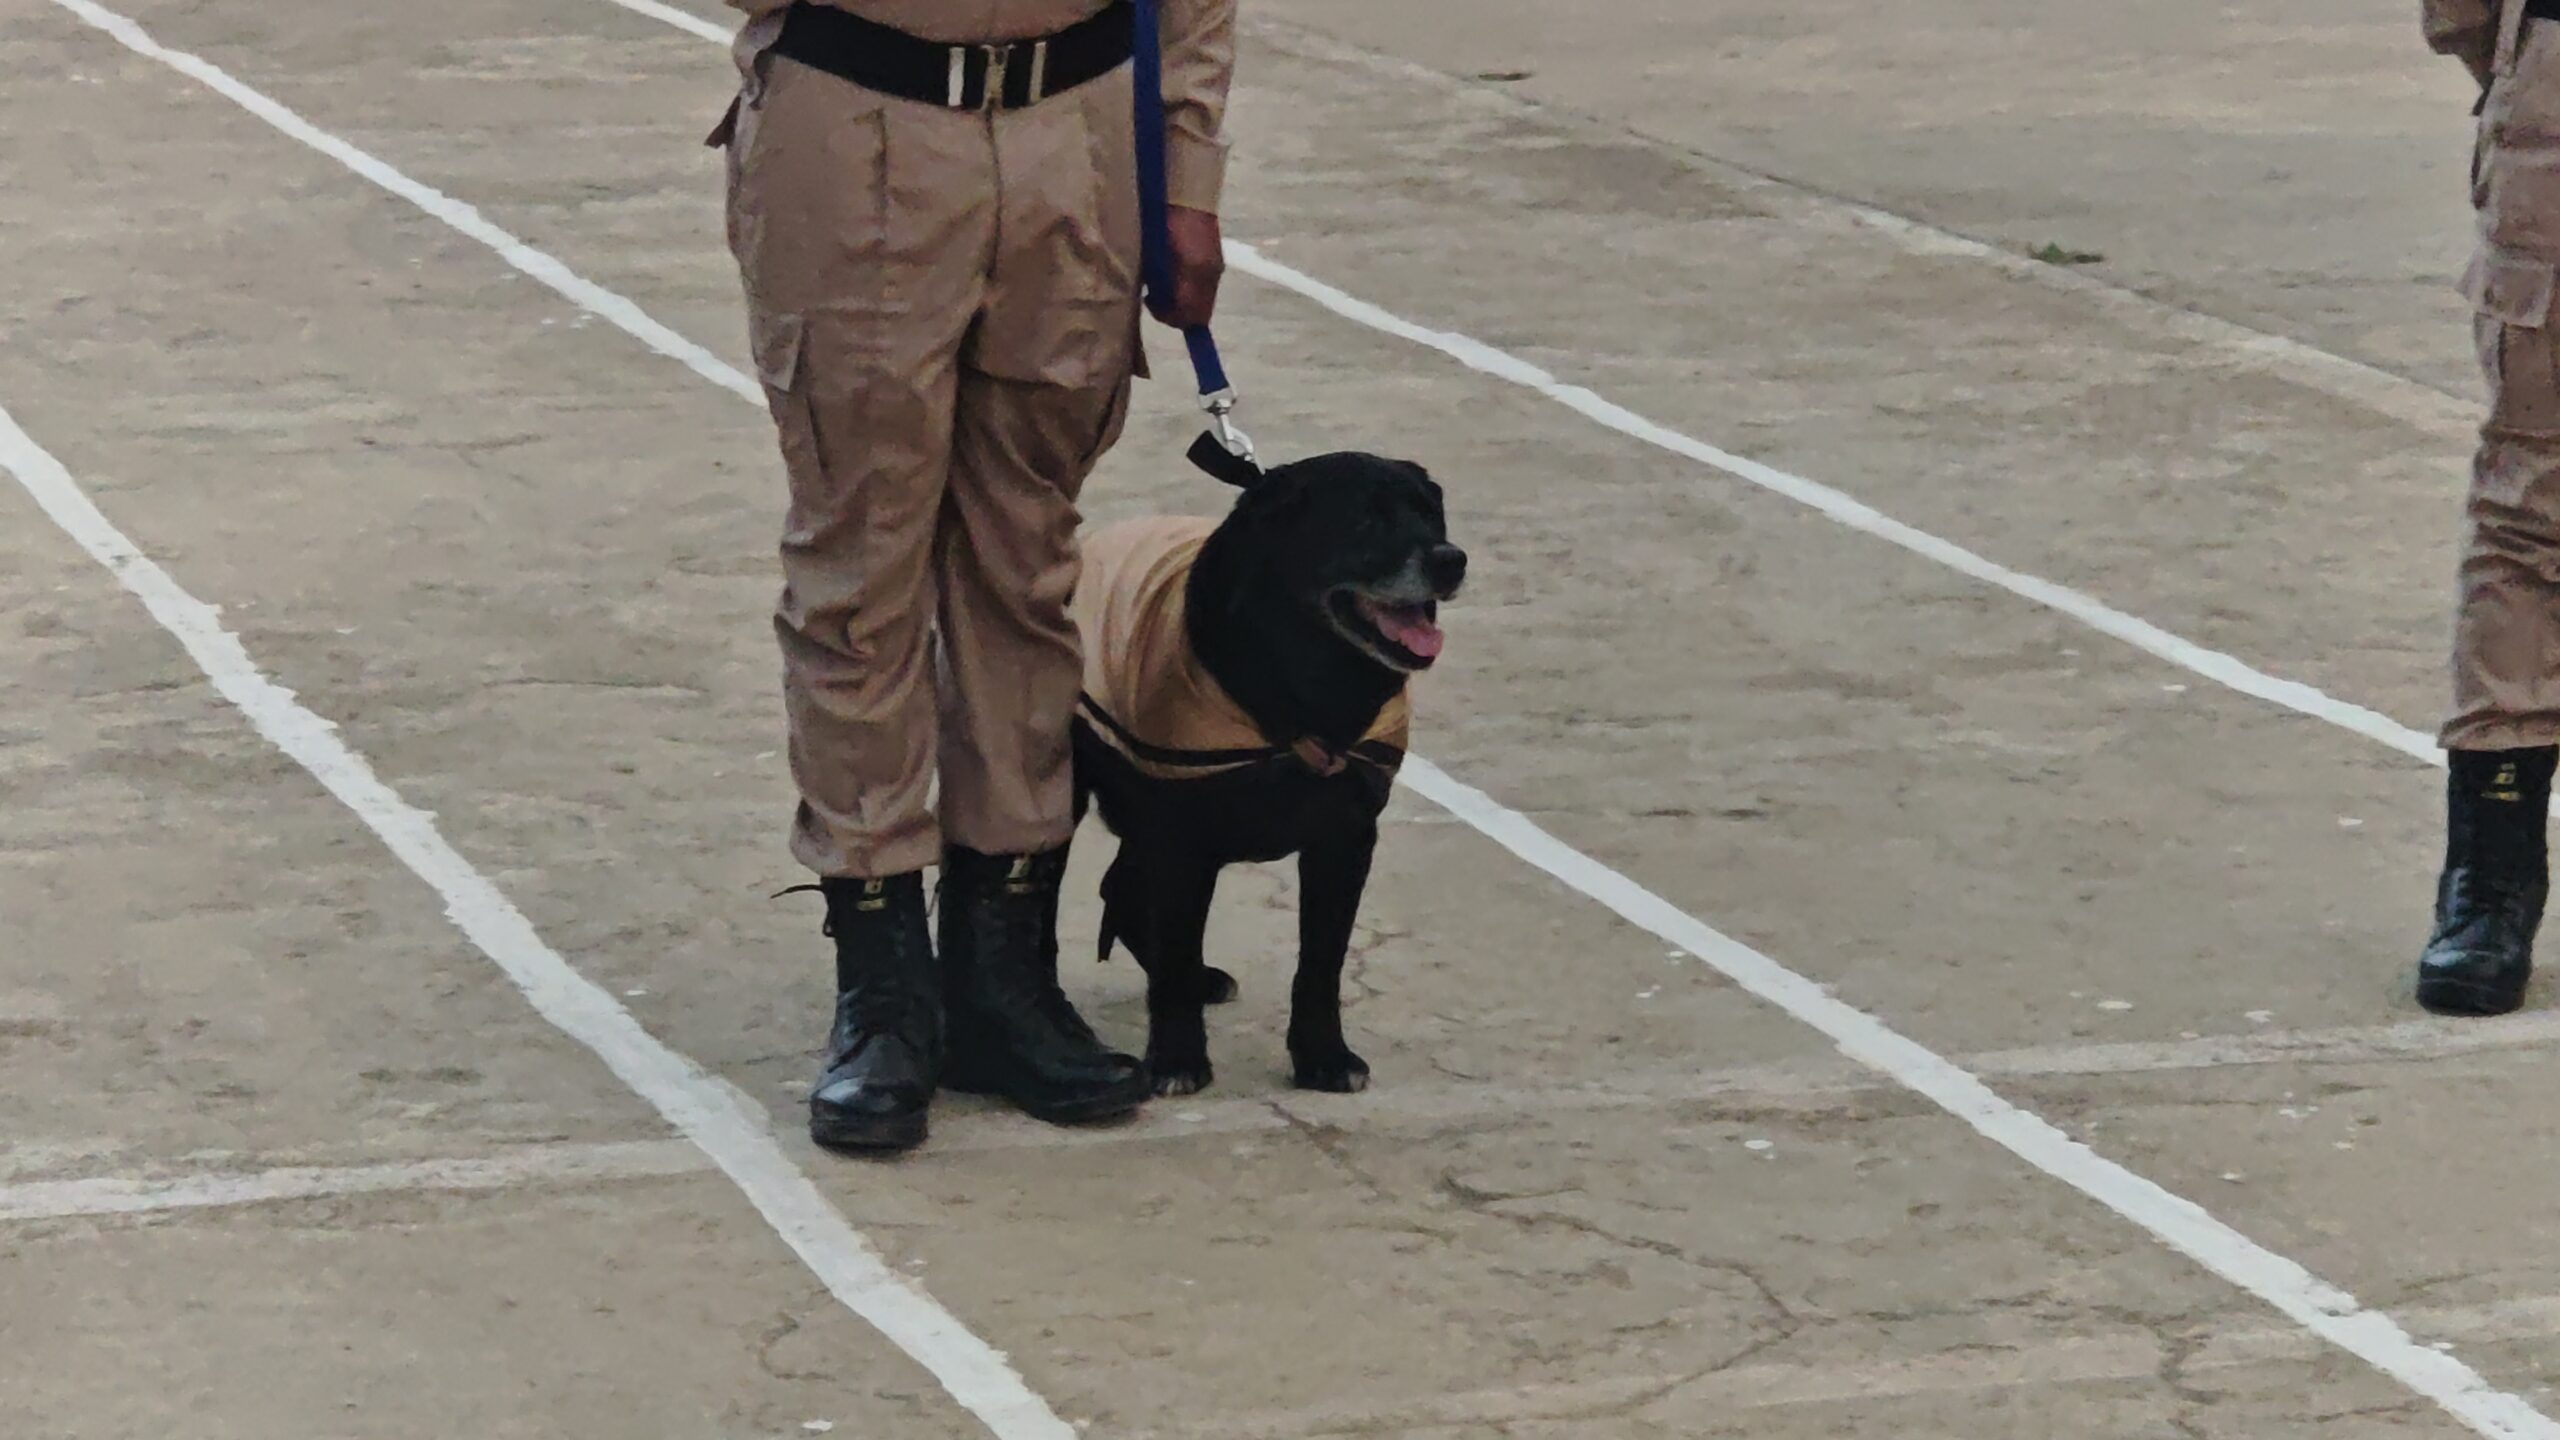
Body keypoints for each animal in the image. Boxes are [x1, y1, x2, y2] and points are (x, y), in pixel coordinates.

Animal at [1070, 450, 1466, 1096]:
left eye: (1431, 513)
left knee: (1121, 886)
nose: (1450, 559)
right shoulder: (1181, 839)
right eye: (1365, 520)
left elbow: (1321, 964)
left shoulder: (1345, 839)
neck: (1306, 693)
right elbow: (1175, 953)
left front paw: (1324, 1057)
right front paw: (1177, 1059)